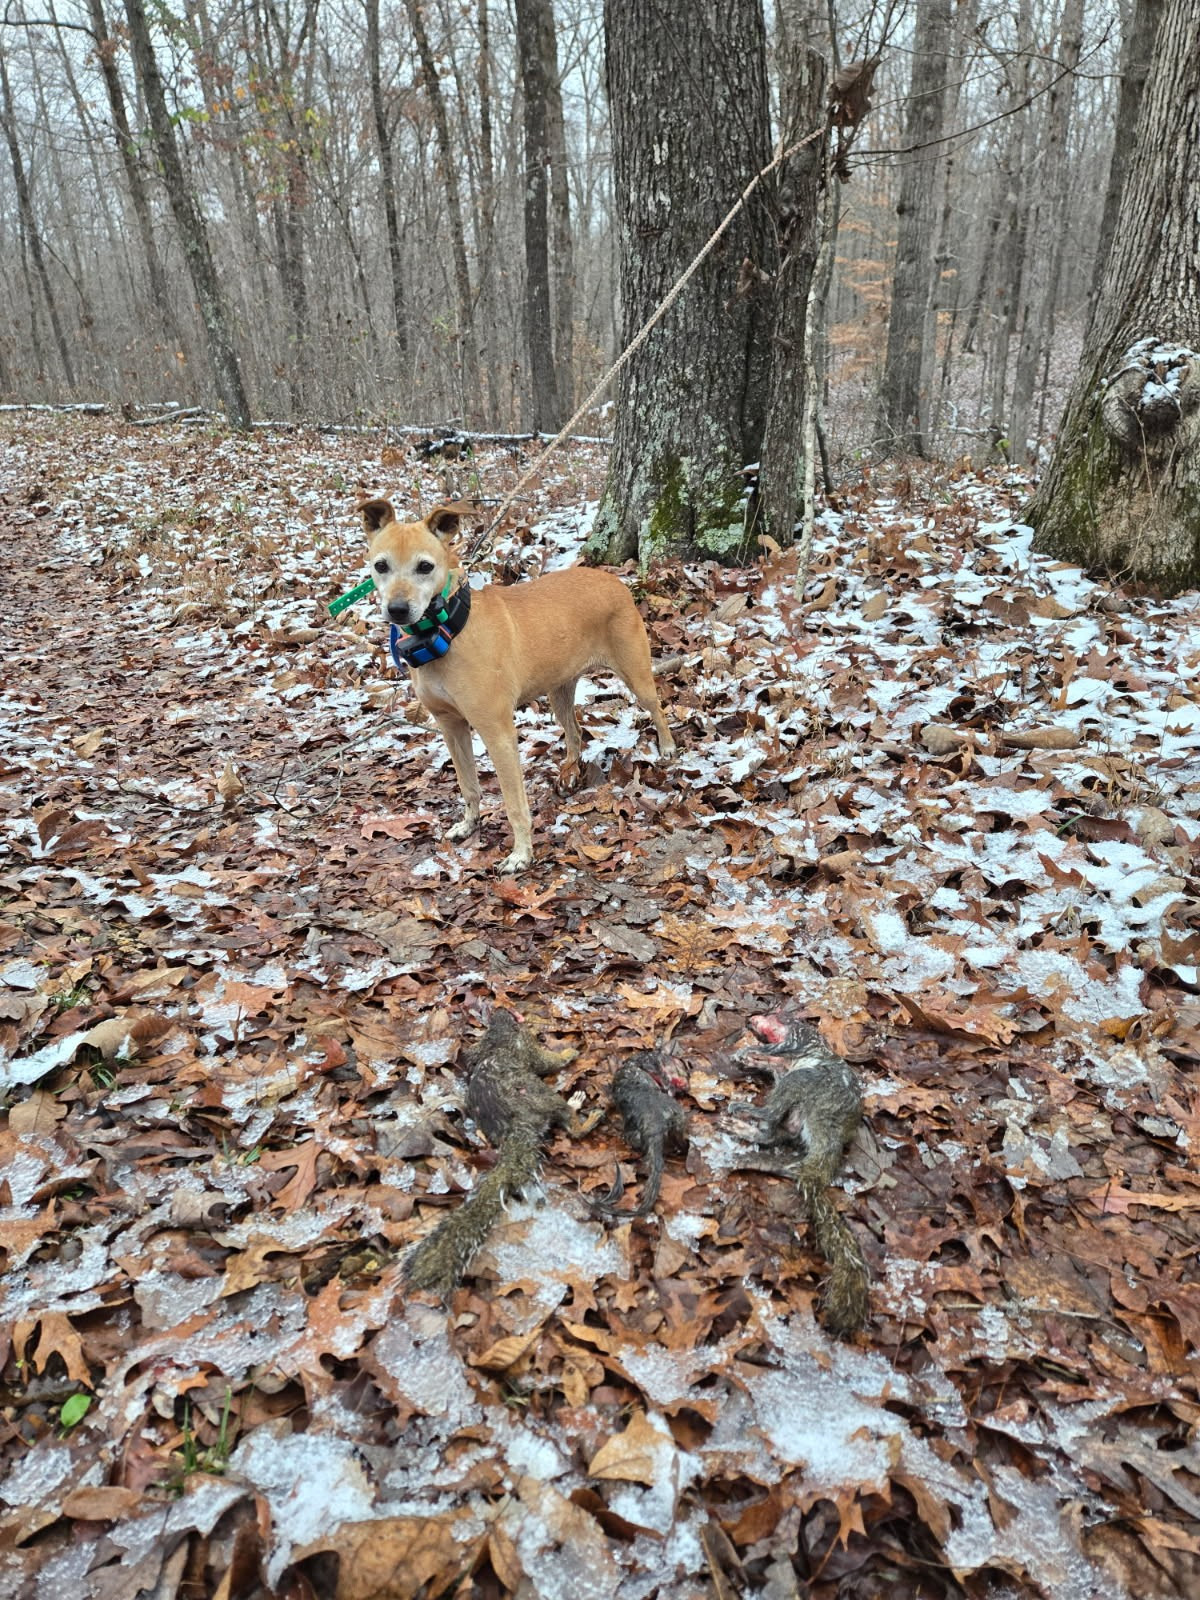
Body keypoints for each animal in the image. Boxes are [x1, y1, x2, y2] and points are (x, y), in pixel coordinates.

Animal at [361, 498, 675, 872]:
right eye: (381, 566)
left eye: (425, 566)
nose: (396, 609)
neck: (447, 630)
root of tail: (613, 579)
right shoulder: (450, 726)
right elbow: (467, 784)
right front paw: (469, 824)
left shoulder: (498, 733)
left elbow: (514, 805)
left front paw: (521, 854)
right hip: (558, 688)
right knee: (574, 732)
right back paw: (570, 772)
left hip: (635, 672)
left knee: (657, 707)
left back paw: (667, 747)